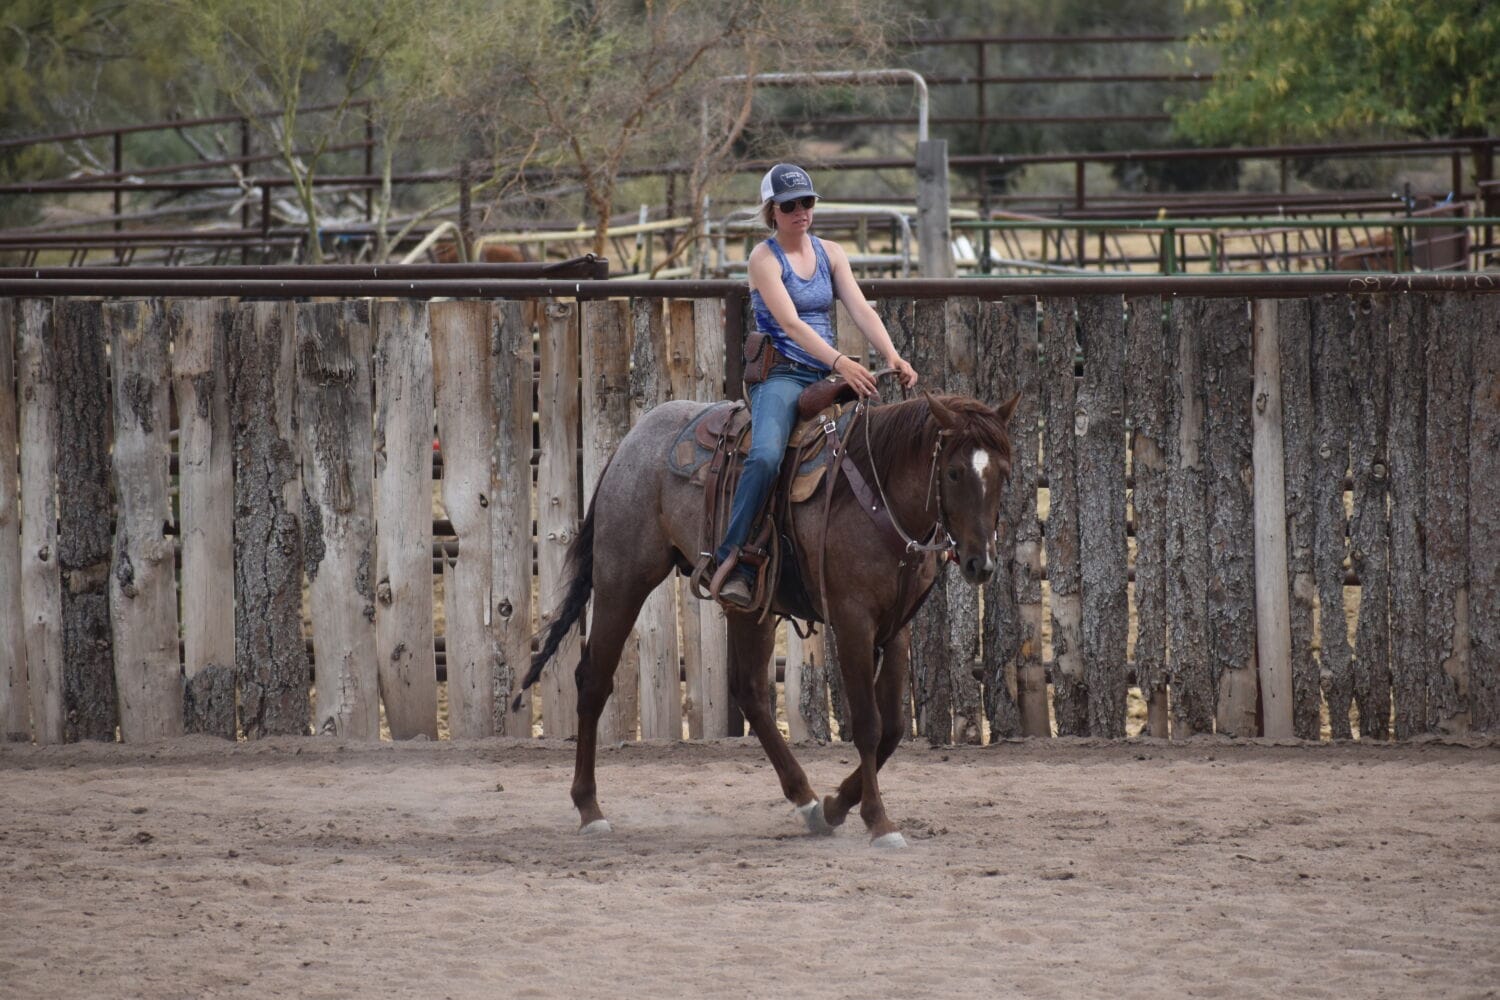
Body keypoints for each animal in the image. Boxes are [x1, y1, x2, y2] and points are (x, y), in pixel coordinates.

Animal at [516, 389, 1019, 848]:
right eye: (953, 472)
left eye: (1004, 473)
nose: (981, 563)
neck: (878, 497)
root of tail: (630, 443)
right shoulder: (852, 623)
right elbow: (868, 725)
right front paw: (878, 821)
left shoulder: (896, 627)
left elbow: (893, 727)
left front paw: (836, 806)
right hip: (622, 580)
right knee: (593, 680)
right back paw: (589, 808)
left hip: (748, 606)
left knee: (751, 691)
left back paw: (807, 800)